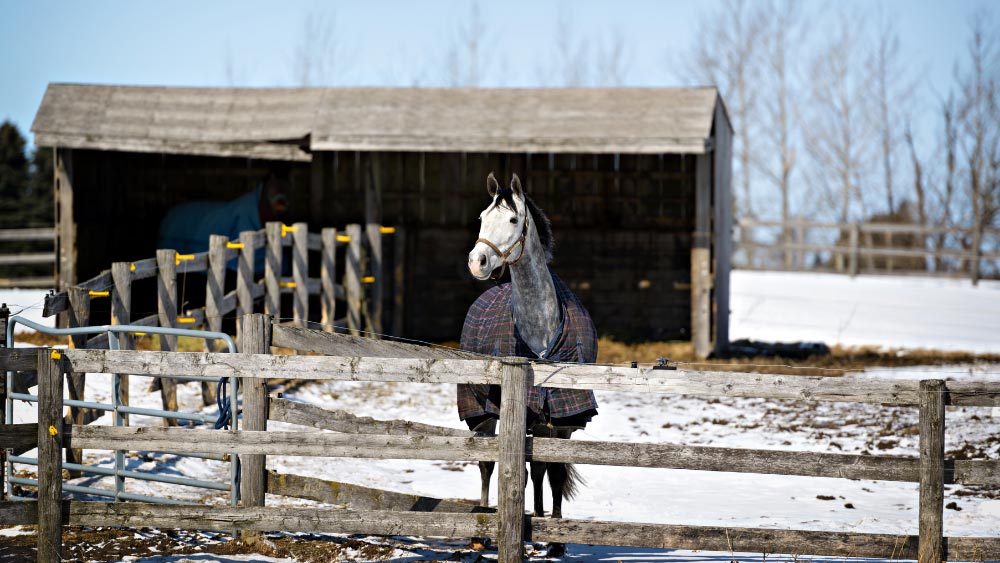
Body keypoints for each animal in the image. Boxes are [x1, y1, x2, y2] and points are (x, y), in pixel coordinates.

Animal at [458, 173, 596, 560]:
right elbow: (508, 469)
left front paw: (555, 540)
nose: (478, 262)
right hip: (482, 413)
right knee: (488, 464)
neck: (540, 329)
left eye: (512, 219)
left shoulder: (561, 420)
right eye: (481, 218)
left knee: (538, 470)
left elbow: (554, 473)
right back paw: (482, 531)